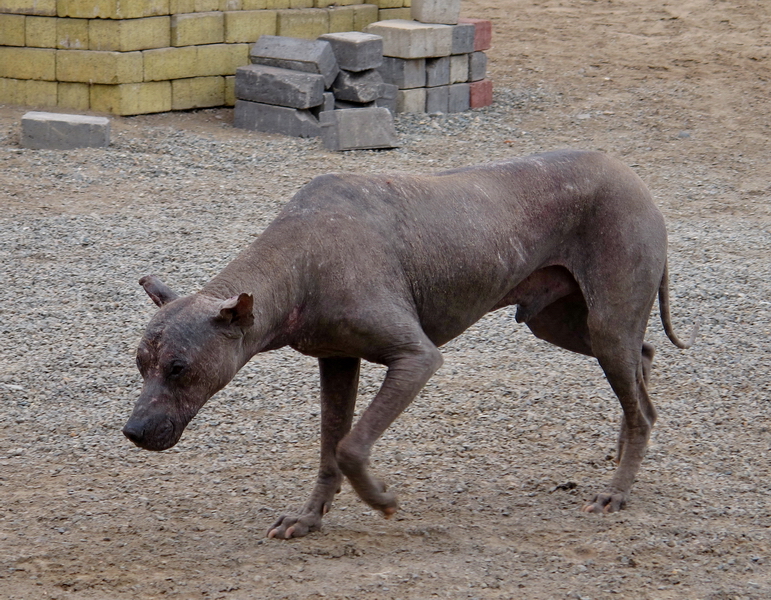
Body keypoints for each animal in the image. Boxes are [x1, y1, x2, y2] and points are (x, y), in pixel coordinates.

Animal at [123, 149, 696, 540]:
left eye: (178, 368)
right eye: (140, 364)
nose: (132, 432)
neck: (300, 261)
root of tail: (633, 176)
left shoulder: (417, 358)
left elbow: (351, 447)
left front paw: (381, 500)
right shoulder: (336, 360)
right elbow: (329, 447)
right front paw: (309, 518)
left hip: (605, 323)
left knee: (642, 405)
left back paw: (617, 490)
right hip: (560, 323)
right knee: (643, 360)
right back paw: (622, 452)